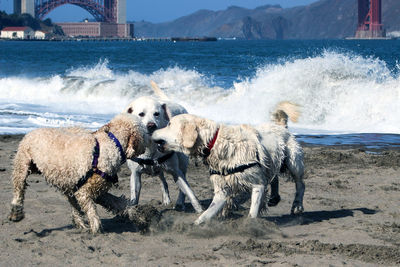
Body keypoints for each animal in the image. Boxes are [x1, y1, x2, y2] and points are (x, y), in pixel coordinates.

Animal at [8, 113, 148, 234]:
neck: (112, 144)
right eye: (144, 132)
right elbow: (92, 211)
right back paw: (16, 212)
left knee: (74, 207)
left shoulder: (98, 191)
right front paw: (95, 229)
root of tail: (30, 133)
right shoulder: (84, 192)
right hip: (22, 165)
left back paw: (80, 224)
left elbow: (119, 204)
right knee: (19, 189)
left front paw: (139, 217)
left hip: (66, 183)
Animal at [125, 81, 203, 214]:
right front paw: (132, 211)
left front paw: (200, 210)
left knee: (182, 184)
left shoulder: (176, 171)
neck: (150, 147)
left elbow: (189, 190)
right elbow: (134, 196)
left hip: (182, 162)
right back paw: (166, 198)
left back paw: (180, 202)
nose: (151, 125)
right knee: (162, 179)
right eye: (141, 114)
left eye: (157, 114)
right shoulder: (135, 174)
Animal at [152, 103, 304, 225]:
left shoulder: (257, 184)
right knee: (274, 177)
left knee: (300, 184)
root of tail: (280, 125)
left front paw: (250, 225)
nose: (152, 129)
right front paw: (196, 225)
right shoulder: (221, 189)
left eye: (169, 124)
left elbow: (253, 211)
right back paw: (274, 197)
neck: (214, 142)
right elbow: (207, 213)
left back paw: (297, 205)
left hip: (293, 161)